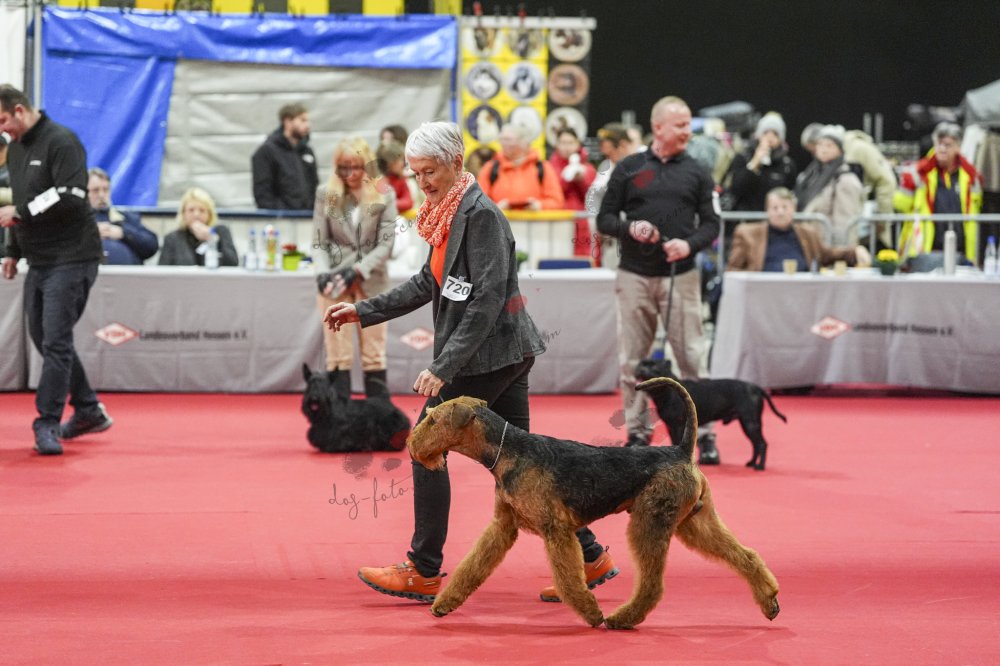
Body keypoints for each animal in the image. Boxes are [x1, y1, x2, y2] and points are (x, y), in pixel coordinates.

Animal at [407, 377, 780, 629]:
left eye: (433, 420)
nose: (411, 445)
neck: (509, 452)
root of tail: (681, 450)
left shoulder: (555, 529)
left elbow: (569, 578)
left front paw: (590, 612)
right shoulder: (503, 526)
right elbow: (472, 566)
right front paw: (444, 604)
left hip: (649, 522)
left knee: (652, 584)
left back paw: (619, 618)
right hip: (695, 522)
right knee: (745, 556)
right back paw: (770, 602)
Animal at [635, 359, 787, 471]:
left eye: (654, 366)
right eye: (642, 363)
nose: (640, 369)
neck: (666, 391)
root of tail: (755, 387)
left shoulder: (678, 426)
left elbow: (677, 443)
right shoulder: (671, 427)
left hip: (751, 423)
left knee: (761, 443)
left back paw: (760, 466)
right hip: (747, 424)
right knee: (755, 444)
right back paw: (751, 463)